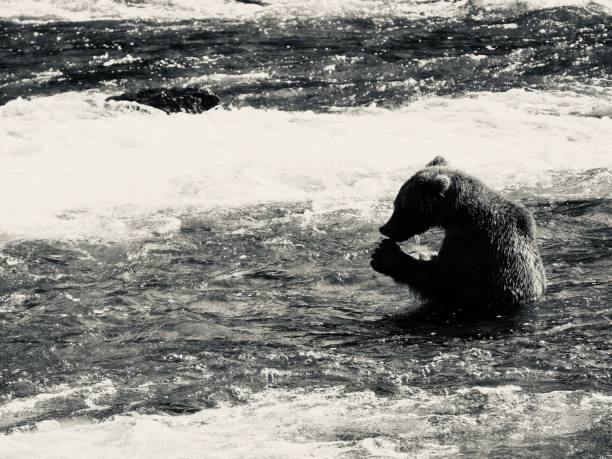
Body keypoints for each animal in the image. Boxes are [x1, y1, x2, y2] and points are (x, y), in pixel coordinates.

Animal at [370, 156, 548, 308]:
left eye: (400, 207)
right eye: (396, 203)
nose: (385, 229)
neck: (458, 215)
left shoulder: (474, 243)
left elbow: (443, 278)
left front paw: (384, 254)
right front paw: (422, 254)